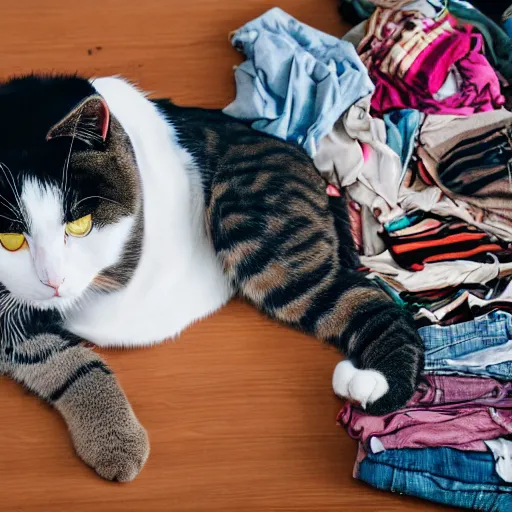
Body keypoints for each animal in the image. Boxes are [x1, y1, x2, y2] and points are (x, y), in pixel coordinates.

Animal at [0, 74, 424, 482]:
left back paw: (379, 382)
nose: (54, 282)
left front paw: (117, 444)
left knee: (367, 299)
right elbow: (63, 362)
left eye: (80, 224)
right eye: (10, 238)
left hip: (249, 222)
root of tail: (306, 161)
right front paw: (113, 440)